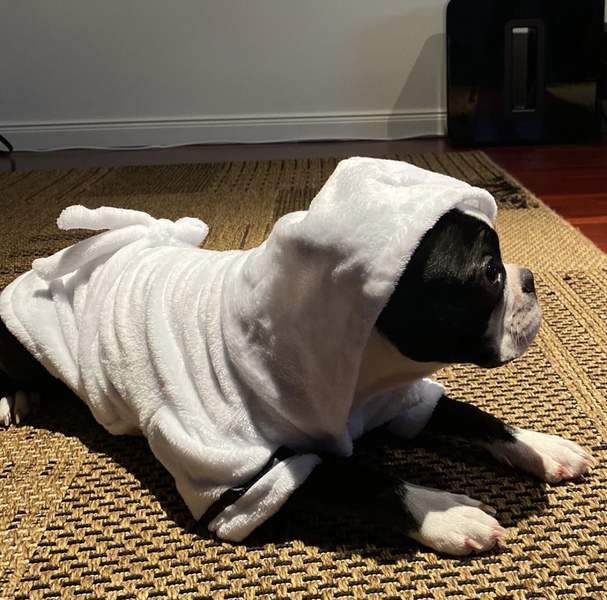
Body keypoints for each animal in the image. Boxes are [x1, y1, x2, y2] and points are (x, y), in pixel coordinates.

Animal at [0, 198, 594, 555]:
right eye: (490, 274)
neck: (361, 375)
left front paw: (541, 446)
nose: (529, 277)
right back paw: (15, 397)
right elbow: (356, 477)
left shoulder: (397, 401)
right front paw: (444, 512)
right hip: (26, 330)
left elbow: (470, 414)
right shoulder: (234, 472)